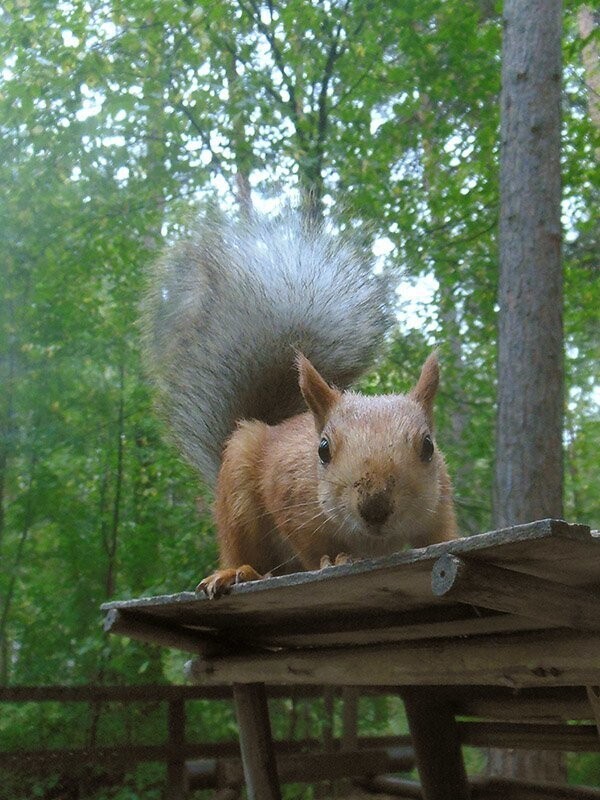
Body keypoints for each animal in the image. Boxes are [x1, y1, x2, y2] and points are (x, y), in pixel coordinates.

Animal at [143, 209, 458, 596]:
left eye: (428, 446)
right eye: (322, 450)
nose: (375, 506)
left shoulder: (439, 500)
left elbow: (441, 534)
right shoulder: (290, 499)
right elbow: (310, 548)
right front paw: (335, 559)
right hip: (238, 498)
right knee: (251, 555)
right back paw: (237, 572)